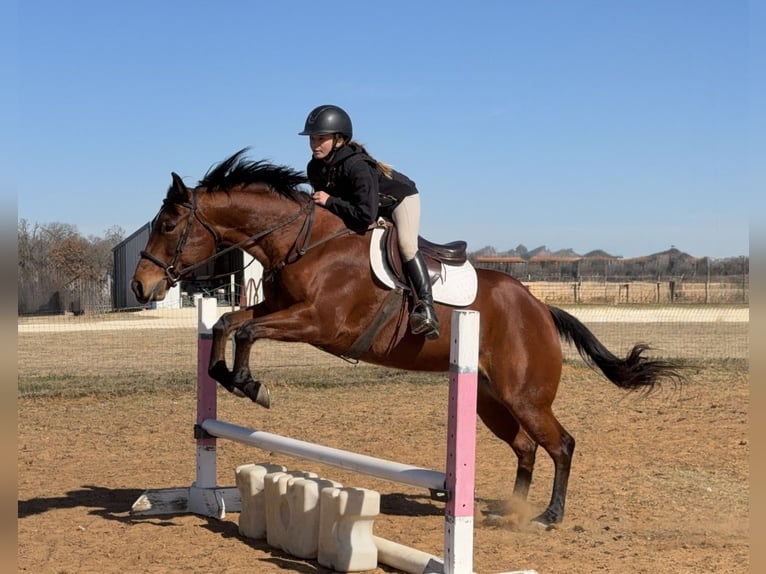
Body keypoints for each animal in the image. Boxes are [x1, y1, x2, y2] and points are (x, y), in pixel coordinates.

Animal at [131, 149, 683, 526]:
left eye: (169, 224)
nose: (141, 286)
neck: (306, 242)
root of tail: (540, 307)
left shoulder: (318, 324)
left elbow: (247, 328)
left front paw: (250, 385)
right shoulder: (279, 308)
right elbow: (229, 322)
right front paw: (226, 375)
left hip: (525, 396)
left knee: (562, 444)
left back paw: (548, 516)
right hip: (491, 400)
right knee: (527, 447)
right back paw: (512, 508)